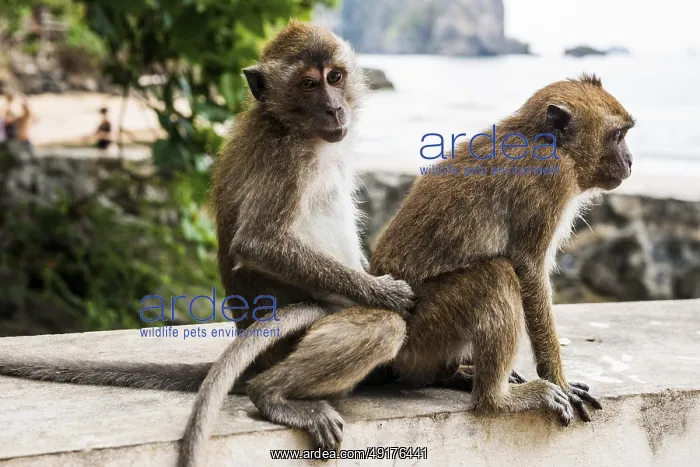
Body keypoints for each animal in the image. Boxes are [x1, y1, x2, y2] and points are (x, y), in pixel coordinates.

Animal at [220, 73, 633, 450]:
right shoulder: (549, 181)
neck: (540, 139)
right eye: (617, 136)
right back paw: (496, 400)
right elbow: (528, 270)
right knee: (496, 275)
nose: (629, 160)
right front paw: (558, 381)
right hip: (426, 332)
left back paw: (456, 375)